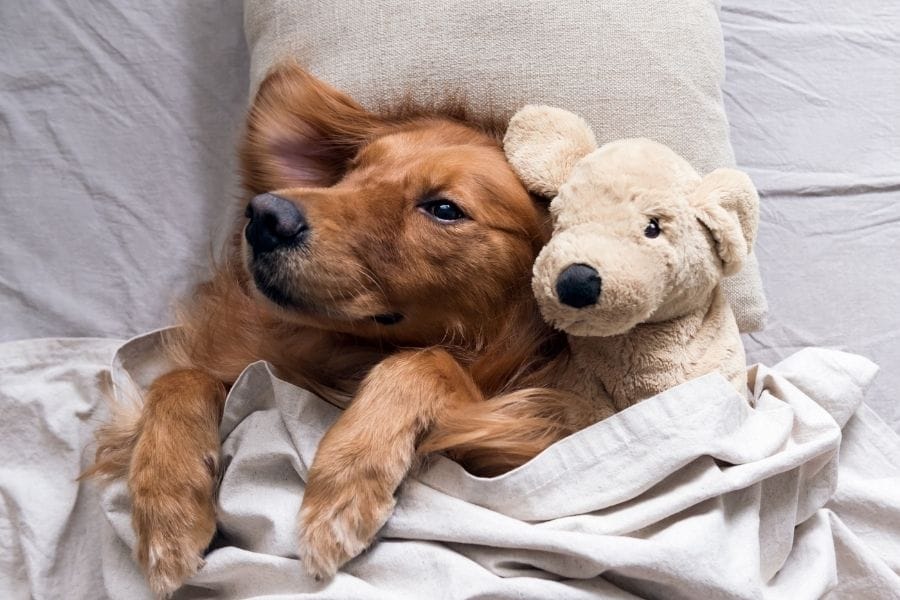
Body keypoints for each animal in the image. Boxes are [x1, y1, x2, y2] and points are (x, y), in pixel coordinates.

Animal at [88, 62, 572, 596]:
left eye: (445, 209)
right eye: (351, 173)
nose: (265, 216)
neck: (343, 354)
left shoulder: (512, 443)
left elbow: (423, 361)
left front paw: (343, 484)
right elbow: (179, 378)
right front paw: (165, 507)